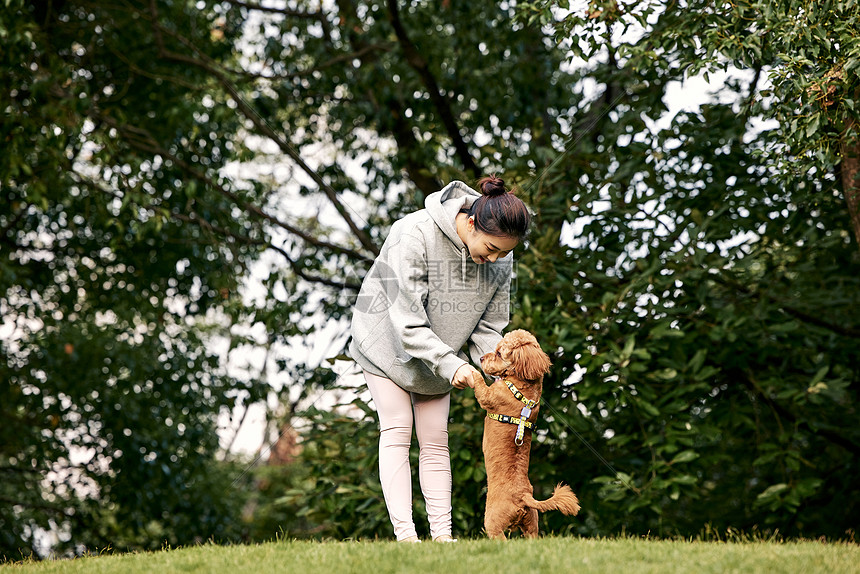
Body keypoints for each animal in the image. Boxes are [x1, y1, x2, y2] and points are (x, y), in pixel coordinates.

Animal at [466, 330, 580, 544]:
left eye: (499, 353)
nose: (481, 358)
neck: (523, 390)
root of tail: (522, 496)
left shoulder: (488, 396)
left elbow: (480, 385)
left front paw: (471, 371)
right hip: (531, 526)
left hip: (492, 523)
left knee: (499, 537)